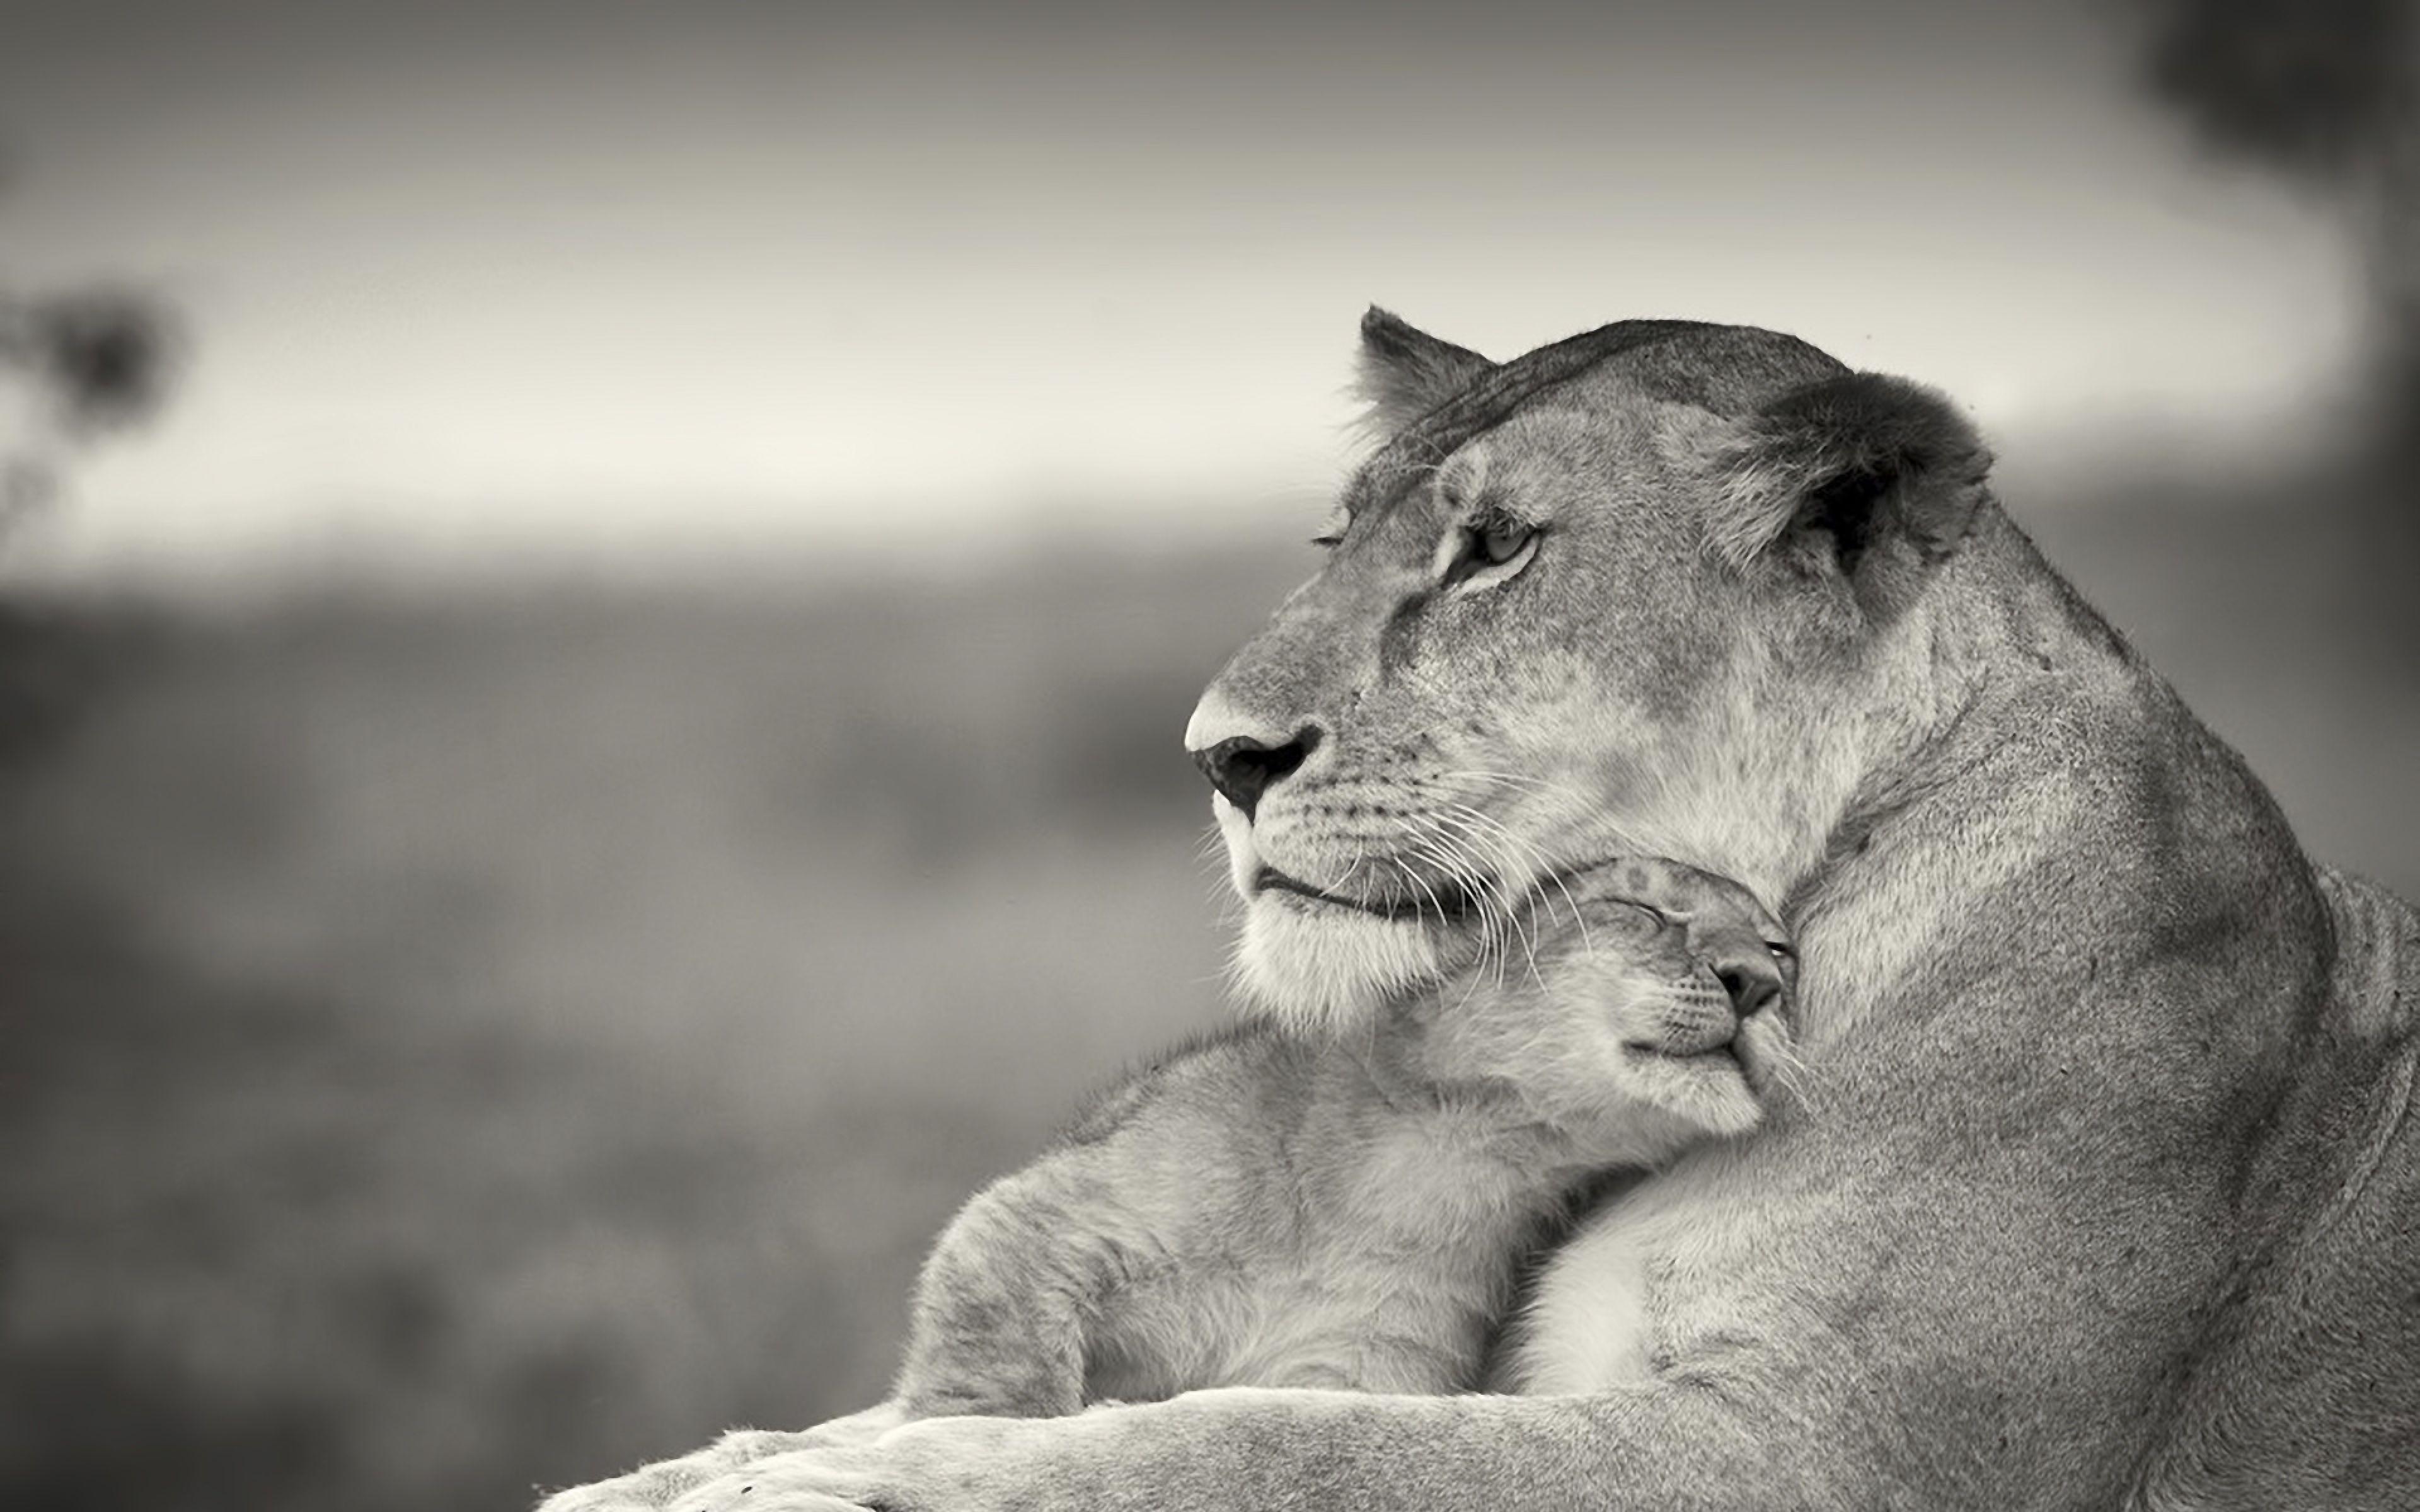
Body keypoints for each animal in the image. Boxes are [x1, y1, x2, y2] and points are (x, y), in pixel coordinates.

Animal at [540, 312, 2420, 1511]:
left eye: (1498, 547)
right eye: (1339, 540)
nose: (1218, 757)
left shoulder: (1830, 1453)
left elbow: (1267, 1450)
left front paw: (878, 1476)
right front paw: (702, 1468)